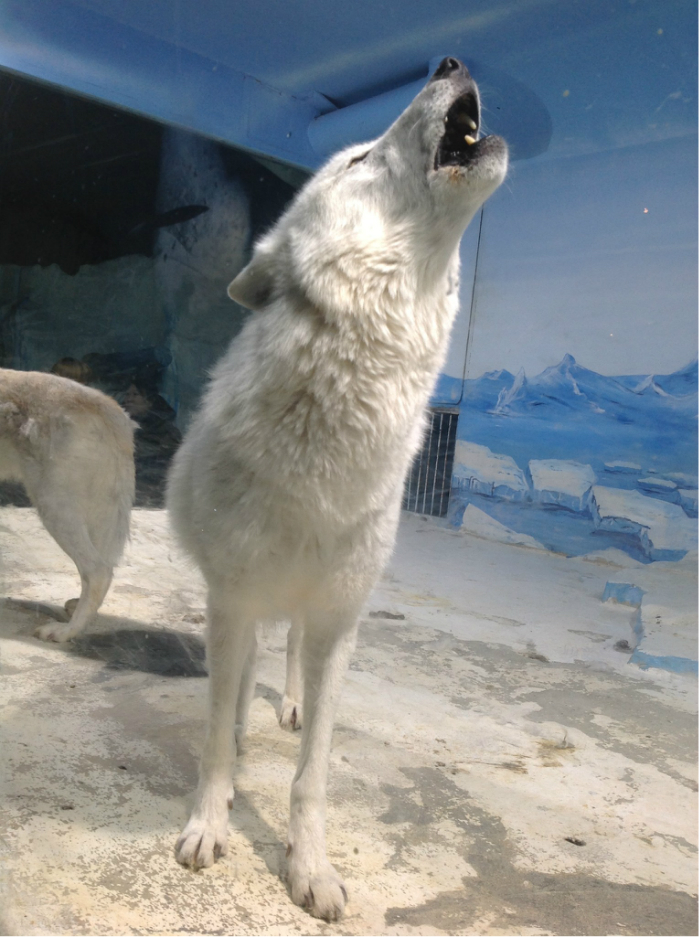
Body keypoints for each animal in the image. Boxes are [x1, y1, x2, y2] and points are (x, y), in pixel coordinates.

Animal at [170, 58, 508, 920]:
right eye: (357, 158)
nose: (450, 62)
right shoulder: (232, 597)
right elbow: (213, 732)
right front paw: (208, 822)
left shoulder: (338, 617)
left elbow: (312, 774)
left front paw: (310, 867)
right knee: (247, 666)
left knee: (286, 651)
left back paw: (286, 704)